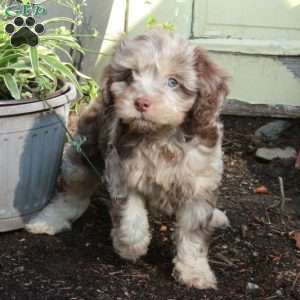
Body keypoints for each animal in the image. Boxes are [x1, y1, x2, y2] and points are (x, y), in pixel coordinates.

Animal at [27, 29, 230, 290]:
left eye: (173, 82)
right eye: (130, 76)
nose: (140, 102)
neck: (161, 137)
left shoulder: (199, 186)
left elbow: (193, 236)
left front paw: (195, 272)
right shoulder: (123, 174)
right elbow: (130, 219)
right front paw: (130, 247)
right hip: (82, 156)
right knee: (73, 195)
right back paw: (48, 221)